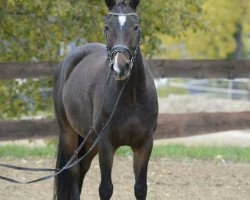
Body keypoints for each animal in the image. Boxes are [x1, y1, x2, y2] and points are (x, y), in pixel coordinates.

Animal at [52, 0, 158, 199]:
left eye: (136, 27)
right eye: (107, 27)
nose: (120, 68)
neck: (131, 97)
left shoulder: (145, 144)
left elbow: (141, 188)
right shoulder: (105, 143)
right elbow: (106, 188)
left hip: (89, 141)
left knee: (81, 170)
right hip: (70, 133)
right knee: (73, 172)